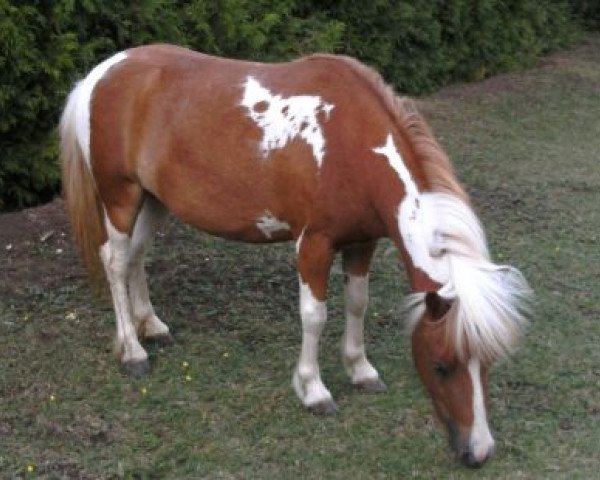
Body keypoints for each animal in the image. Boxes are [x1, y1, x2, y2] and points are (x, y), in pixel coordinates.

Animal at [59, 44, 528, 464]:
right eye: (441, 365)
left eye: (488, 363)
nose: (478, 453)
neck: (350, 141)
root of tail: (99, 74)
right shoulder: (314, 243)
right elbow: (314, 316)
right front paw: (314, 390)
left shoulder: (362, 242)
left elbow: (357, 303)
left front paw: (360, 370)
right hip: (121, 197)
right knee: (116, 261)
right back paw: (132, 350)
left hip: (154, 199)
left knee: (137, 257)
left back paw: (152, 326)